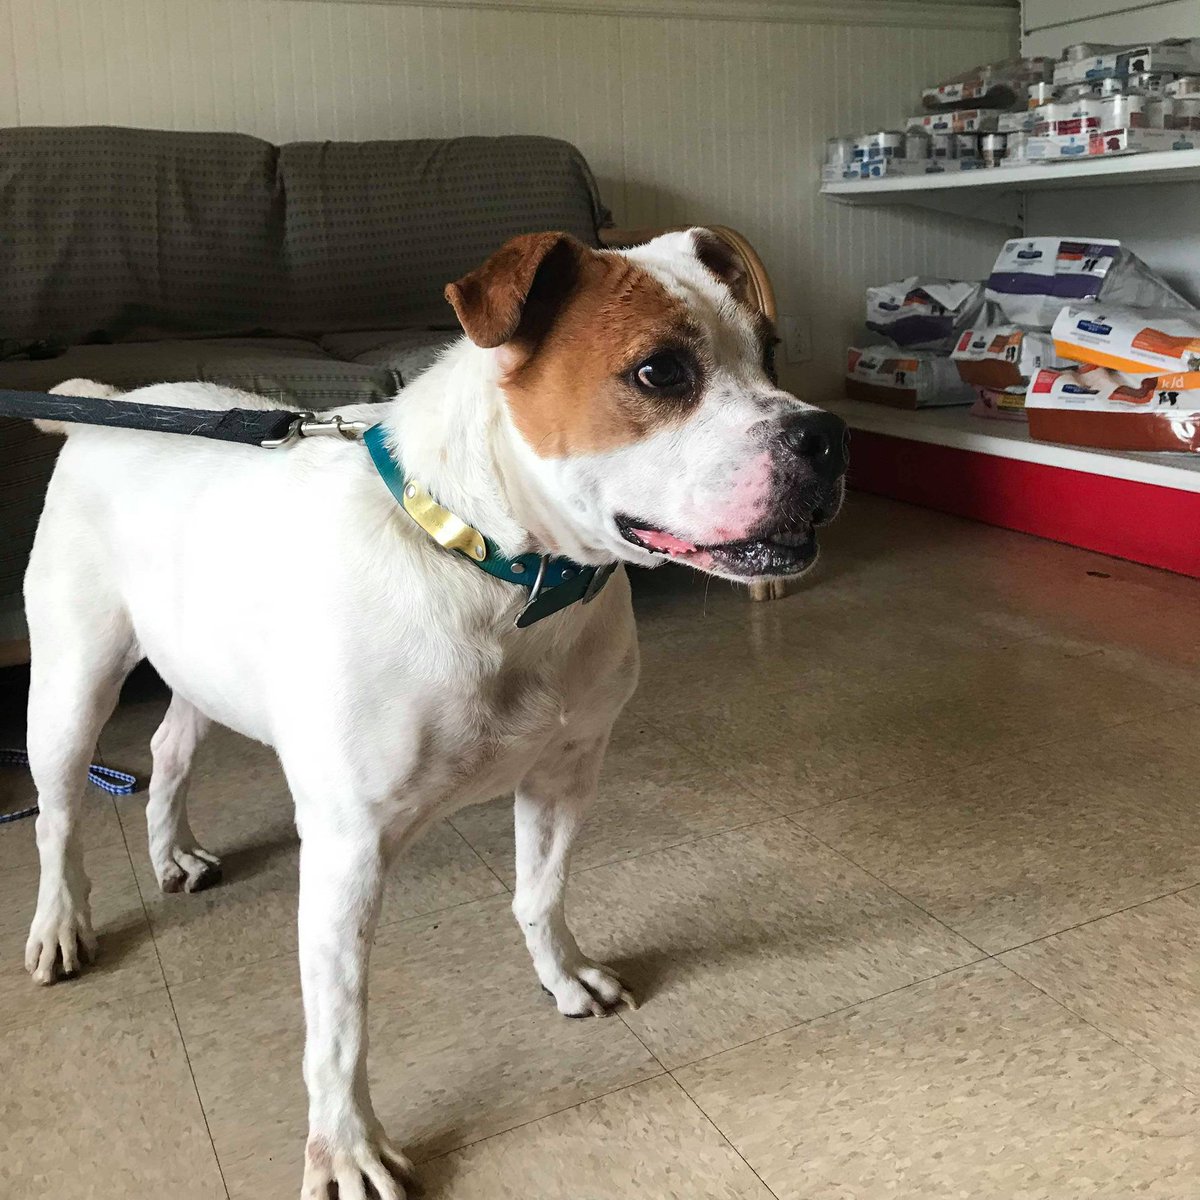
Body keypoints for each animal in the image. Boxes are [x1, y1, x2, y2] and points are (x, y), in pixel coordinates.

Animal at [18, 229, 844, 1195]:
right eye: (660, 372)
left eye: (771, 353)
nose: (827, 436)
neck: (501, 571)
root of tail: (108, 407)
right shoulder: (347, 849)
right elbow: (339, 1026)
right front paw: (345, 1148)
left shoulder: (567, 772)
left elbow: (541, 891)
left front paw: (563, 976)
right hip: (71, 683)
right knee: (59, 819)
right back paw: (60, 925)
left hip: (203, 659)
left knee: (169, 745)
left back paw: (171, 849)